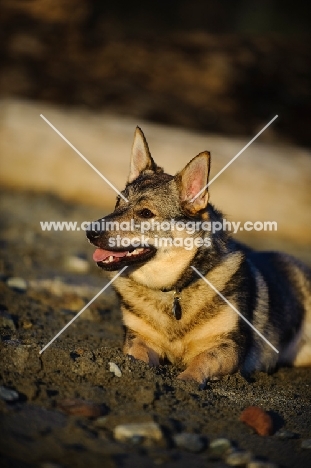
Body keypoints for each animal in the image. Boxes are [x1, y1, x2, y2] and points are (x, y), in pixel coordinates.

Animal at [87, 127, 311, 384]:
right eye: (117, 203)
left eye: (145, 213)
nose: (89, 232)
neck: (172, 290)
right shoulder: (137, 338)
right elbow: (138, 357)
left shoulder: (227, 347)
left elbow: (200, 363)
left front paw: (185, 381)